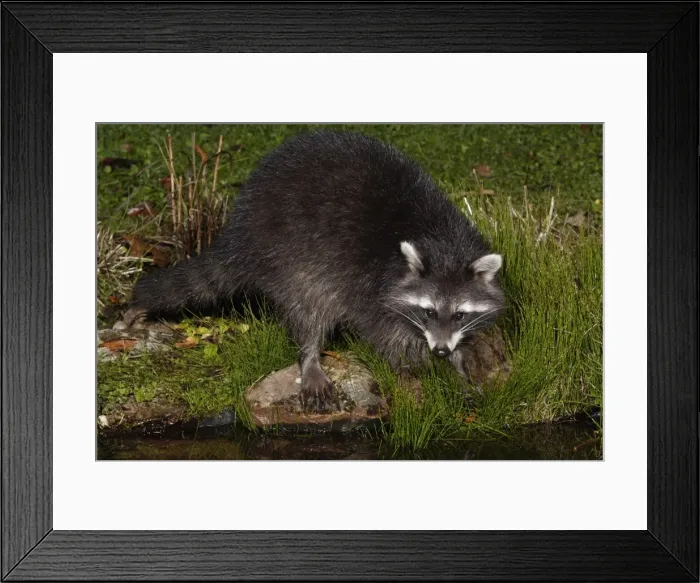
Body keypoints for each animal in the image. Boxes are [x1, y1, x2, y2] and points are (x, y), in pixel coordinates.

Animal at [128, 131, 505, 410]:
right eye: (427, 311)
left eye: (459, 314)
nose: (440, 350)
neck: (442, 240)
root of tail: (240, 230)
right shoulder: (371, 286)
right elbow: (387, 337)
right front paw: (429, 371)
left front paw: (459, 365)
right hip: (290, 255)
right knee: (308, 305)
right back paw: (309, 356)